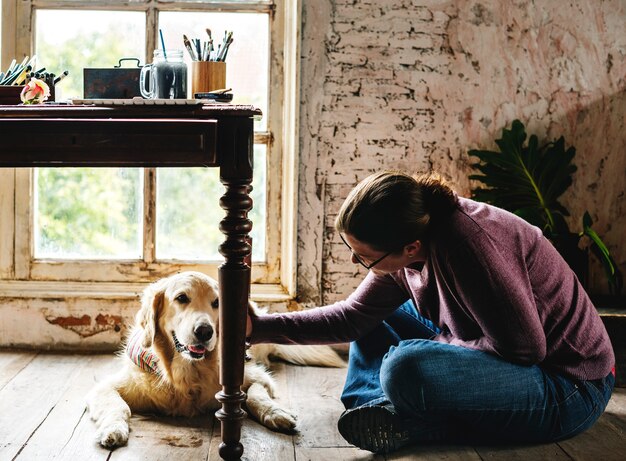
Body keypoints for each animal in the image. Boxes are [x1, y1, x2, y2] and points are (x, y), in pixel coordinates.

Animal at [84, 272, 342, 448]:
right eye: (181, 298)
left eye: (217, 303)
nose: (204, 331)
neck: (188, 373)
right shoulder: (106, 387)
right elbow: (119, 406)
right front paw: (113, 429)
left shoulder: (255, 377)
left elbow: (256, 395)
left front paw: (276, 413)